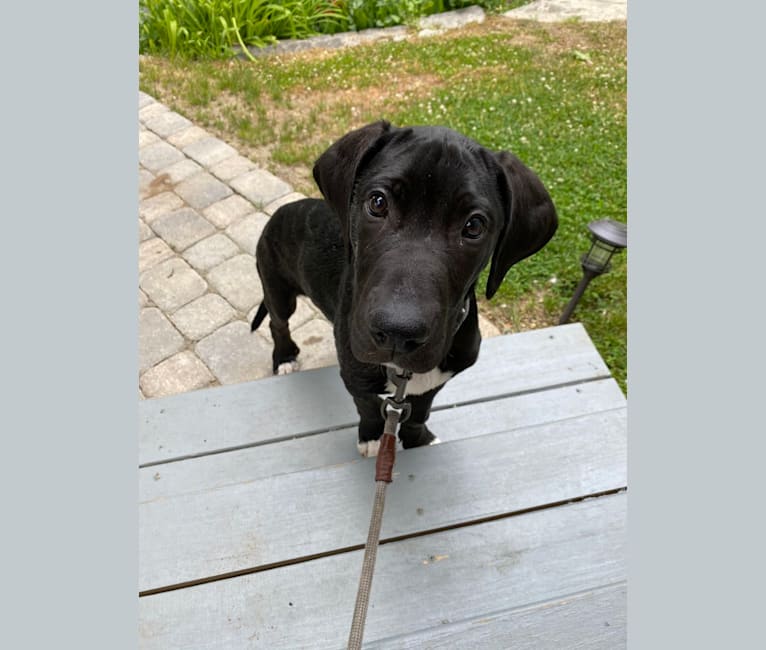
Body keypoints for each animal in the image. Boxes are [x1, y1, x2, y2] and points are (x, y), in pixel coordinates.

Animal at [252, 121, 560, 456]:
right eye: (377, 203)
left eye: (474, 226)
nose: (397, 333)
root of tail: (282, 211)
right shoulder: (356, 374)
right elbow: (368, 407)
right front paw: (373, 438)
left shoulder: (436, 379)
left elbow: (420, 410)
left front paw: (418, 439)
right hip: (277, 286)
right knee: (277, 321)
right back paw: (284, 357)